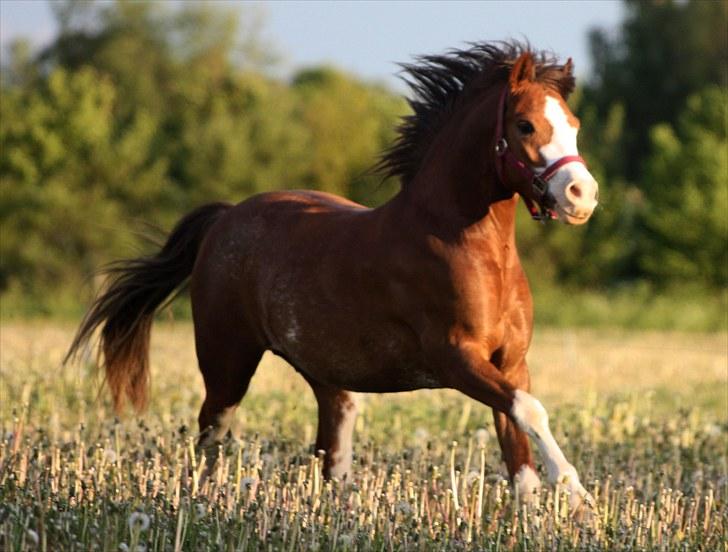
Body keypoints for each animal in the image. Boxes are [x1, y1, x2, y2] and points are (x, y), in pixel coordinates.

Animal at [66, 42, 599, 509]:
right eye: (525, 125)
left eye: (573, 125)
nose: (582, 195)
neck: (471, 249)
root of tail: (224, 218)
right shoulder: (456, 358)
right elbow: (530, 410)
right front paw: (579, 497)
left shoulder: (510, 363)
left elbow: (520, 457)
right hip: (227, 361)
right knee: (211, 434)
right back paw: (208, 500)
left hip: (326, 375)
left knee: (331, 446)